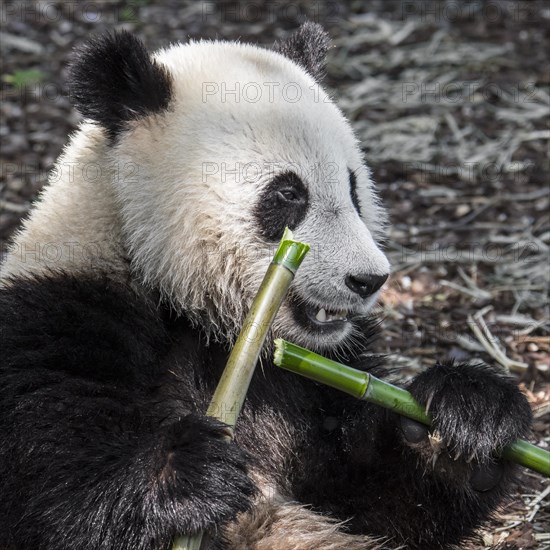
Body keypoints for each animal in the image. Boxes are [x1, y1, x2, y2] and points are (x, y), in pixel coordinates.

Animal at [0, 22, 536, 550]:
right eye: (288, 194)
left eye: (354, 189)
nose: (369, 279)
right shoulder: (58, 321)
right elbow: (50, 493)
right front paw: (189, 472)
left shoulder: (312, 379)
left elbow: (374, 497)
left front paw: (467, 417)